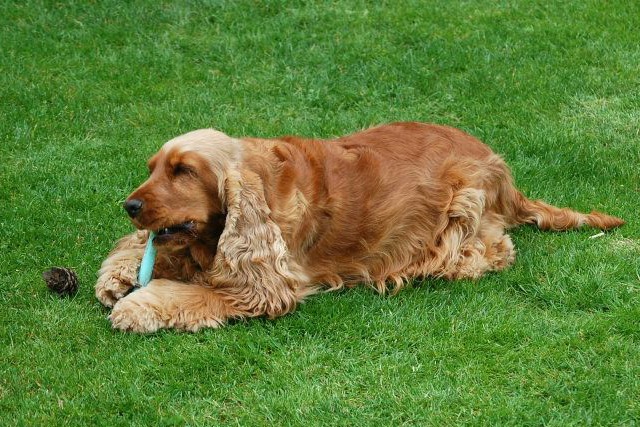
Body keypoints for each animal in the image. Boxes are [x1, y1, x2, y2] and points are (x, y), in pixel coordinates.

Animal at [96, 122, 624, 332]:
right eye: (153, 168)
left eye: (183, 171)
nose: (130, 205)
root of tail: (499, 166)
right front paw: (118, 276)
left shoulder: (266, 284)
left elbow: (194, 293)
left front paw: (136, 306)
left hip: (462, 209)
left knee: (491, 251)